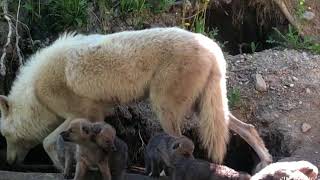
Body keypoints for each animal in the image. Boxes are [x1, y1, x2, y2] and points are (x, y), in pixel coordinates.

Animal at [0, 27, 272, 172]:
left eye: (5, 136)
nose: (9, 162)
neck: (37, 94)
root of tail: (213, 47)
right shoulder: (93, 116)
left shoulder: (82, 115)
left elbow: (48, 141)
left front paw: (59, 167)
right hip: (203, 108)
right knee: (247, 128)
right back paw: (266, 161)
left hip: (165, 109)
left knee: (183, 142)